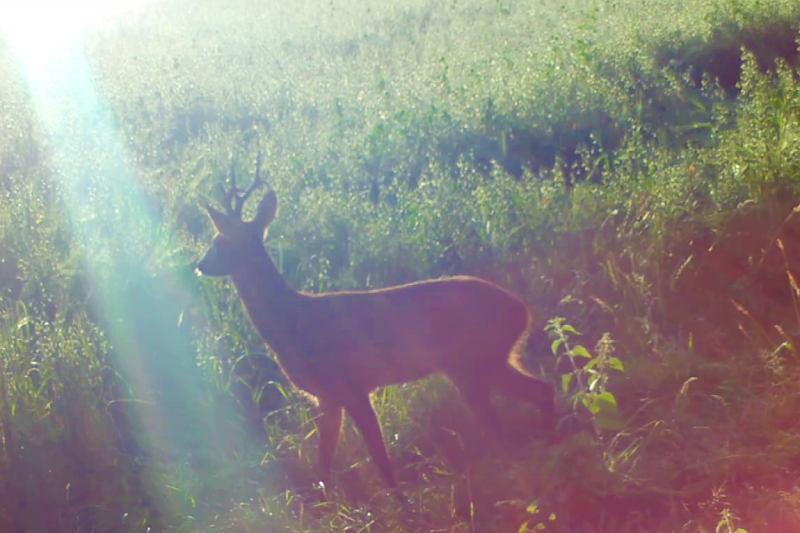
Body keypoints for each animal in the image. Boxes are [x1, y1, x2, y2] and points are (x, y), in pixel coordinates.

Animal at [195, 154, 556, 494]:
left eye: (218, 242)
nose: (199, 264)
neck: (293, 319)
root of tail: (522, 311)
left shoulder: (352, 387)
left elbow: (381, 461)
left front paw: (402, 509)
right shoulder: (329, 398)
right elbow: (324, 466)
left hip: (473, 362)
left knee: (509, 418)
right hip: (486, 361)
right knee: (540, 392)